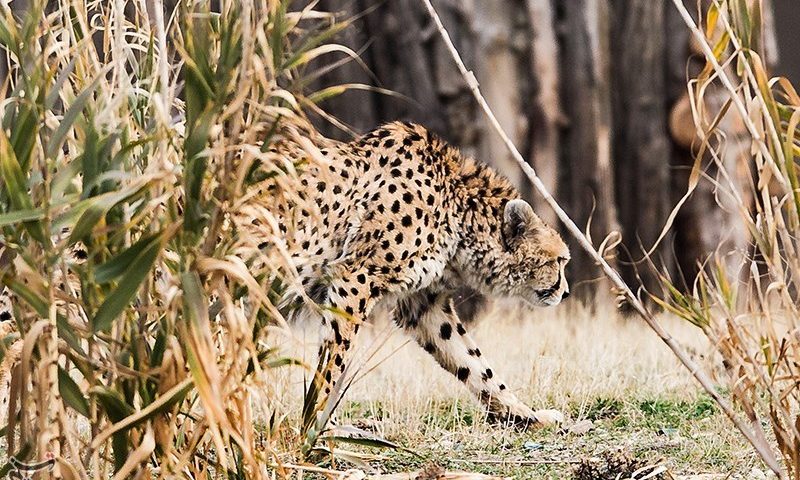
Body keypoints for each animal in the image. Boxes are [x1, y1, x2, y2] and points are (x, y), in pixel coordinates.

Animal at [282, 121, 568, 428]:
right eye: (560, 260)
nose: (565, 292)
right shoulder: (356, 278)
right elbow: (334, 361)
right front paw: (319, 423)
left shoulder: (424, 305)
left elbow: (474, 363)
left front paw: (527, 414)